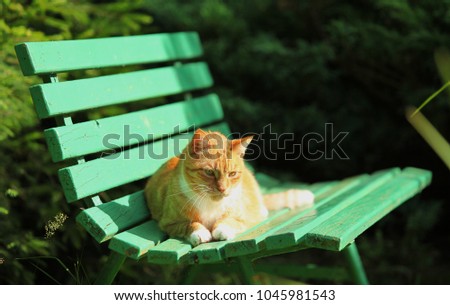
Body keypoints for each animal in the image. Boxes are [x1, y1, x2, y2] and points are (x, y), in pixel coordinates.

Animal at [144, 127, 312, 245]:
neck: (210, 204)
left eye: (232, 174)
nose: (223, 189)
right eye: (209, 172)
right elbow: (189, 224)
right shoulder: (169, 223)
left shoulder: (243, 218)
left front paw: (222, 229)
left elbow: (230, 220)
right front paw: (200, 232)